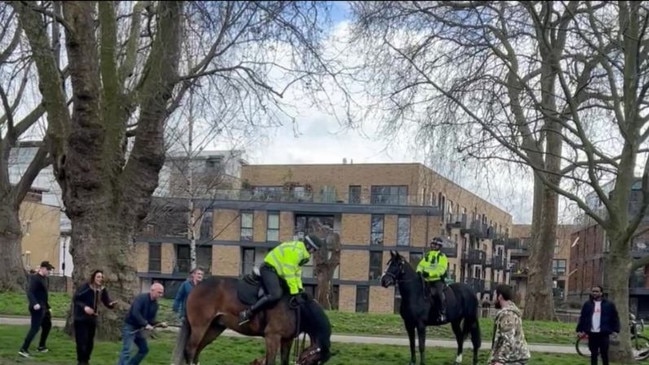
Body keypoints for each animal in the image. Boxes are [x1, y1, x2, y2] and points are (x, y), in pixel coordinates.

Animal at [171, 270, 330, 364]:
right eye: (310, 360)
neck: (298, 308)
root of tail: (196, 286)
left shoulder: (287, 340)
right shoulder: (272, 337)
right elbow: (271, 361)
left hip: (214, 328)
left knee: (197, 350)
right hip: (200, 326)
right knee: (190, 350)